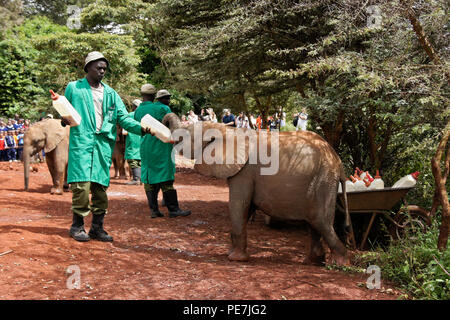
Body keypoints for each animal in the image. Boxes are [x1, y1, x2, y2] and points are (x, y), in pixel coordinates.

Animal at [163, 114, 352, 266]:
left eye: (185, 136)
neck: (227, 130)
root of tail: (338, 162)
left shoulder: (245, 171)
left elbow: (238, 206)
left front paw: (235, 259)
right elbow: (246, 210)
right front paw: (233, 254)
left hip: (323, 180)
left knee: (321, 222)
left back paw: (340, 263)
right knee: (314, 224)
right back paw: (312, 262)